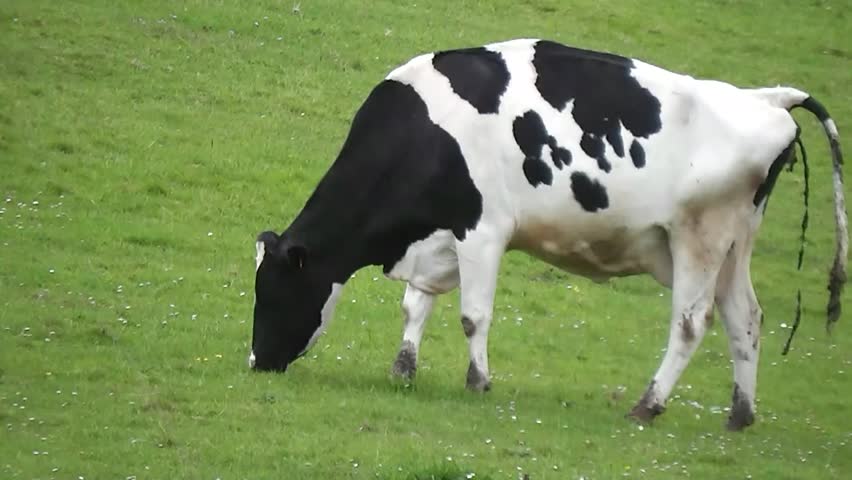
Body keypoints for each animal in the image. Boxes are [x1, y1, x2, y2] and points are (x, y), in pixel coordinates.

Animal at [249, 38, 846, 431]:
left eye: (273, 291)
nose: (256, 364)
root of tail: (767, 99)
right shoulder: (441, 233)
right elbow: (415, 304)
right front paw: (404, 368)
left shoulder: (483, 229)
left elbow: (472, 315)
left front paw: (478, 381)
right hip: (735, 244)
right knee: (746, 317)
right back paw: (740, 415)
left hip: (700, 236)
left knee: (691, 322)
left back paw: (649, 405)